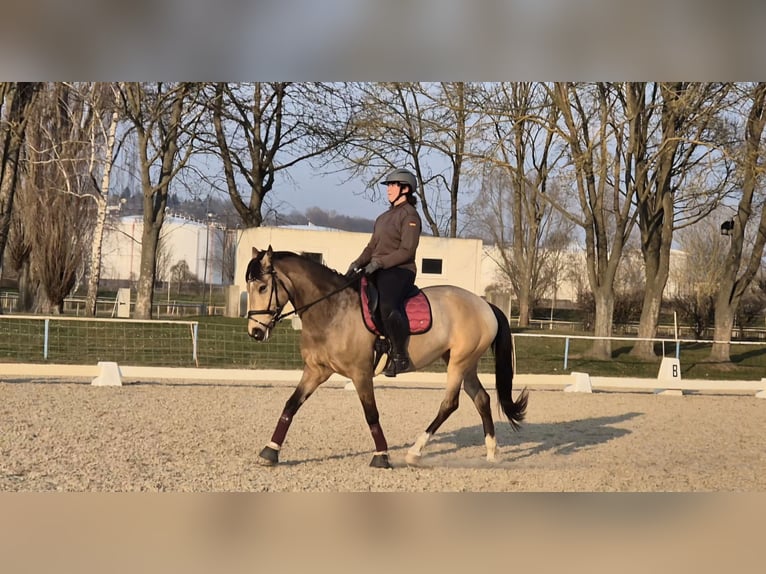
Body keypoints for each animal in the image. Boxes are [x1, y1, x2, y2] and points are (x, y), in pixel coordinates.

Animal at [246, 246, 528, 469]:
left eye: (262, 287)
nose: (255, 332)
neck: (332, 310)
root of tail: (485, 305)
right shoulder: (316, 371)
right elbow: (291, 405)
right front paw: (270, 451)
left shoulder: (360, 374)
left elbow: (371, 414)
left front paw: (381, 456)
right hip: (463, 363)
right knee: (481, 398)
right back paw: (491, 454)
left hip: (459, 363)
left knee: (449, 404)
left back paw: (415, 452)